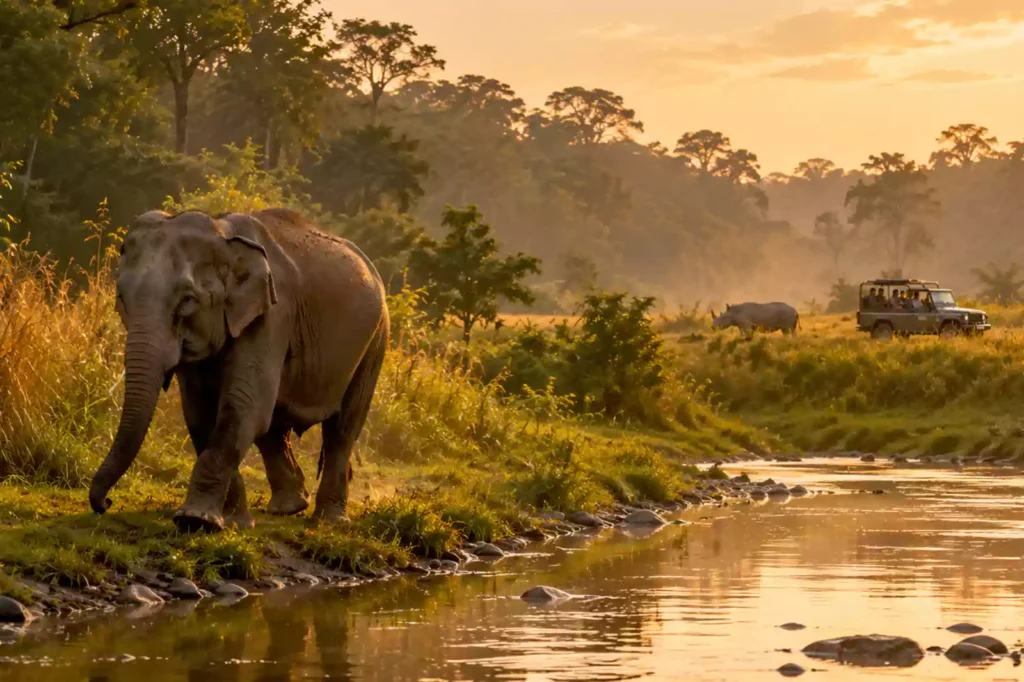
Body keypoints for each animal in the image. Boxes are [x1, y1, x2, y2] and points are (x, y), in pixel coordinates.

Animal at [89, 207, 389, 532]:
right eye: (121, 298)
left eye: (188, 300)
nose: (105, 503)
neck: (223, 233)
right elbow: (200, 416)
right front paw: (231, 522)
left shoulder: (272, 316)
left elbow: (241, 406)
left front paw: (195, 521)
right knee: (274, 426)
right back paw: (288, 507)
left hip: (376, 340)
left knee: (343, 427)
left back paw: (329, 519)